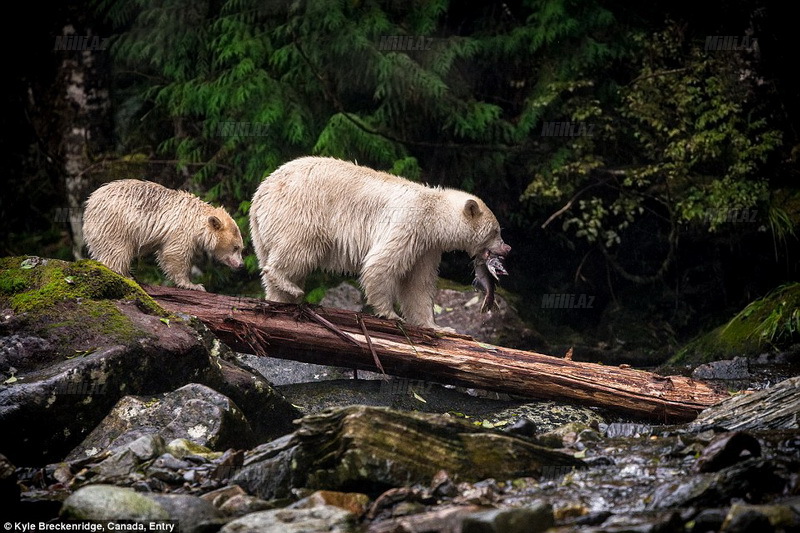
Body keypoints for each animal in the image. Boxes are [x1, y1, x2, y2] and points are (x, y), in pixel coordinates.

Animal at [250, 156, 510, 328]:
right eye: (496, 231)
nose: (507, 248)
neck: (434, 214)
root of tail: (260, 194)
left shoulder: (427, 247)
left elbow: (418, 284)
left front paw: (437, 326)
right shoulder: (409, 224)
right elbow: (381, 264)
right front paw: (390, 314)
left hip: (263, 233)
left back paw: (281, 298)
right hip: (301, 210)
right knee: (300, 248)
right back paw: (289, 285)